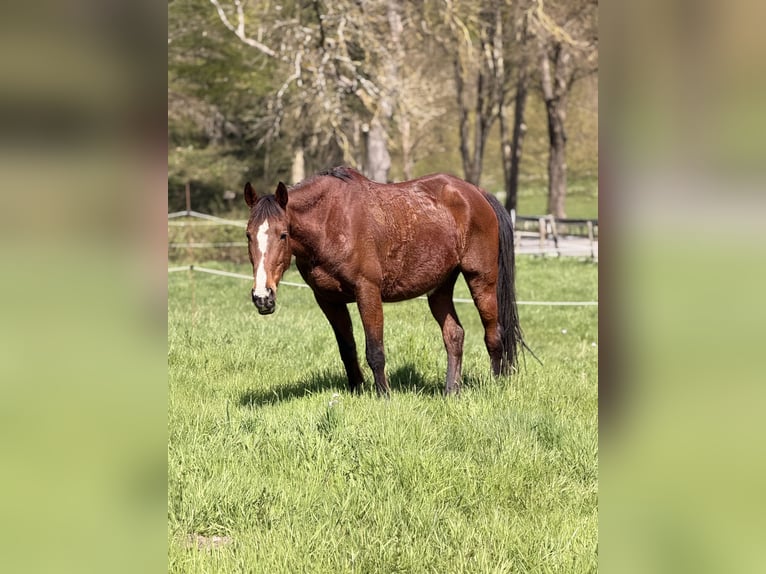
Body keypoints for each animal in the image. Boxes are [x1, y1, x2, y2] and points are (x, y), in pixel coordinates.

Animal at [243, 166, 523, 396]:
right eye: (248, 235)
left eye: (283, 234)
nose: (262, 297)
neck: (331, 221)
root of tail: (476, 193)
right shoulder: (328, 300)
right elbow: (347, 348)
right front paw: (357, 389)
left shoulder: (367, 291)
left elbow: (375, 350)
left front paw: (383, 395)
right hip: (440, 288)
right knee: (454, 335)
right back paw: (451, 391)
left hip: (482, 281)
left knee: (493, 335)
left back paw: (496, 384)